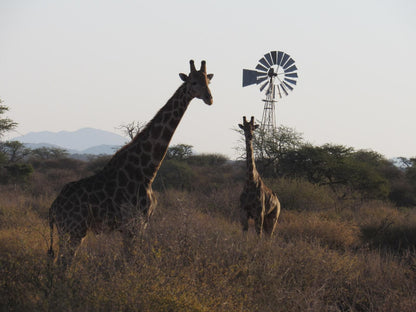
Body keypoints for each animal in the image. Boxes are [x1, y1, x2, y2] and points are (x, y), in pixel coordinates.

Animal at [47, 59, 213, 266]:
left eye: (208, 81)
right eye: (193, 82)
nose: (209, 98)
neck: (147, 170)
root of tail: (53, 208)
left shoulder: (140, 223)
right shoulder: (134, 224)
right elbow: (131, 262)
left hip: (72, 231)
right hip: (73, 229)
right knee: (62, 263)